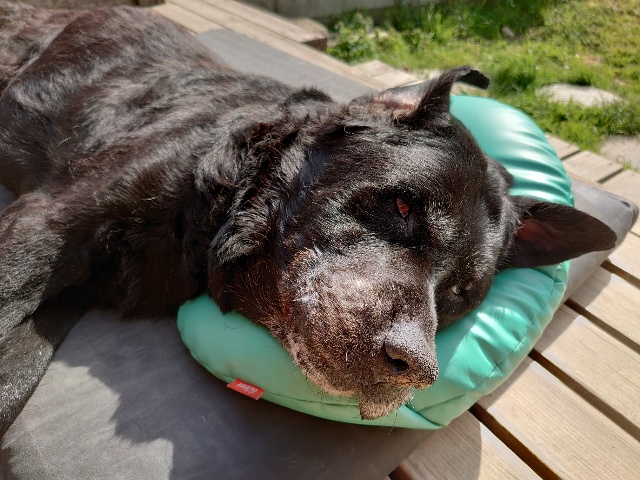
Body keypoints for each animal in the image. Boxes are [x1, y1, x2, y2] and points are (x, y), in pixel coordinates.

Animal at [0, 2, 616, 435]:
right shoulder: (46, 226)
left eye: (462, 293)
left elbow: (14, 381)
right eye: (402, 206)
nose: (415, 365)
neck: (231, 191)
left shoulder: (67, 301)